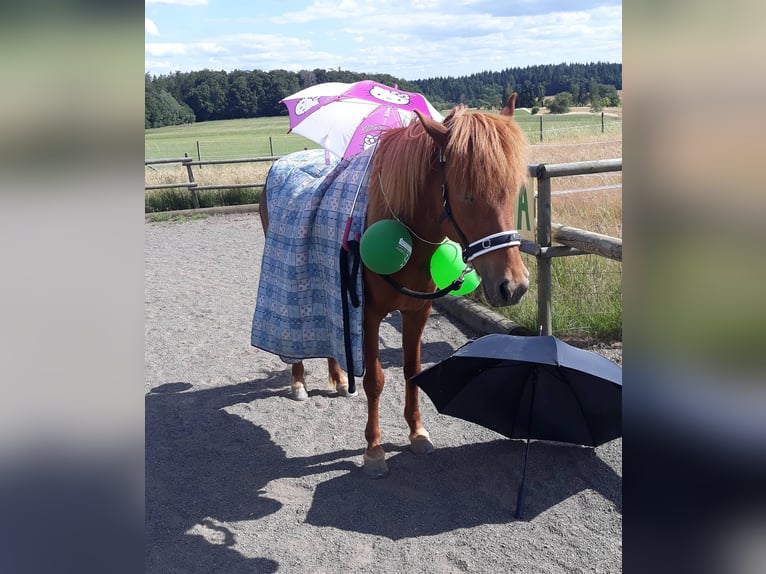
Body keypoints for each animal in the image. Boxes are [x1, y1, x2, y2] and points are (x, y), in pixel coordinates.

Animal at [257, 94, 529, 477]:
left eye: (514, 189)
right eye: (468, 194)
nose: (513, 286)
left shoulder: (417, 312)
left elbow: (412, 372)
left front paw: (417, 433)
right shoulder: (368, 315)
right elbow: (375, 380)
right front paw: (374, 450)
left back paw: (338, 377)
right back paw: (298, 381)